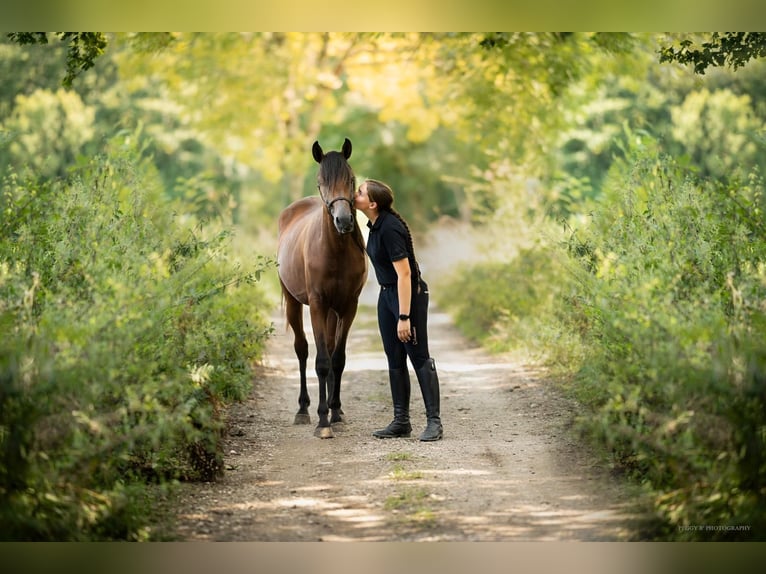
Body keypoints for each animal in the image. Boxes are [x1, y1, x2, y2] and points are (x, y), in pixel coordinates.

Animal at [280, 140, 368, 440]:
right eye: (321, 182)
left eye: (351, 179)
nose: (344, 221)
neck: (335, 250)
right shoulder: (317, 305)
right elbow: (321, 361)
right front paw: (322, 422)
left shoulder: (348, 307)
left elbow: (337, 359)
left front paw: (336, 413)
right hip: (294, 303)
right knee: (302, 349)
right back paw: (303, 410)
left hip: (332, 311)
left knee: (329, 349)